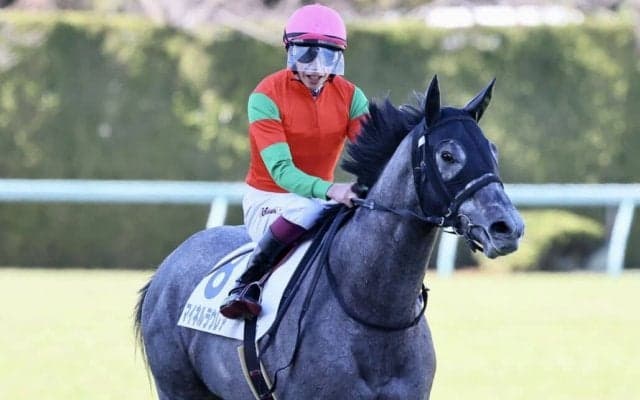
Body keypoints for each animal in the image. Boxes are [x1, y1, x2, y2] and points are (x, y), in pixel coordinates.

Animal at [134, 76, 524, 400]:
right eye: (447, 155)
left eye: (492, 150)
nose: (508, 227)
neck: (375, 310)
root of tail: (168, 266)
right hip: (178, 388)